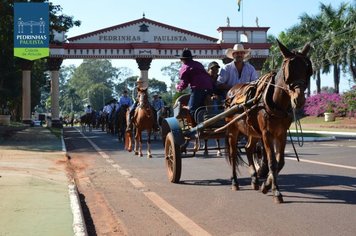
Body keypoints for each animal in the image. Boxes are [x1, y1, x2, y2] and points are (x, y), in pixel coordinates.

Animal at [225, 39, 312, 204]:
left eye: (307, 70)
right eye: (288, 70)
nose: (299, 100)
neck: (276, 103)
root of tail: (231, 91)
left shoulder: (281, 133)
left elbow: (280, 162)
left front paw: (266, 185)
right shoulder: (266, 134)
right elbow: (272, 161)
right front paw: (276, 191)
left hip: (252, 131)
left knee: (248, 148)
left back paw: (254, 179)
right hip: (233, 130)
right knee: (233, 154)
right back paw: (234, 182)